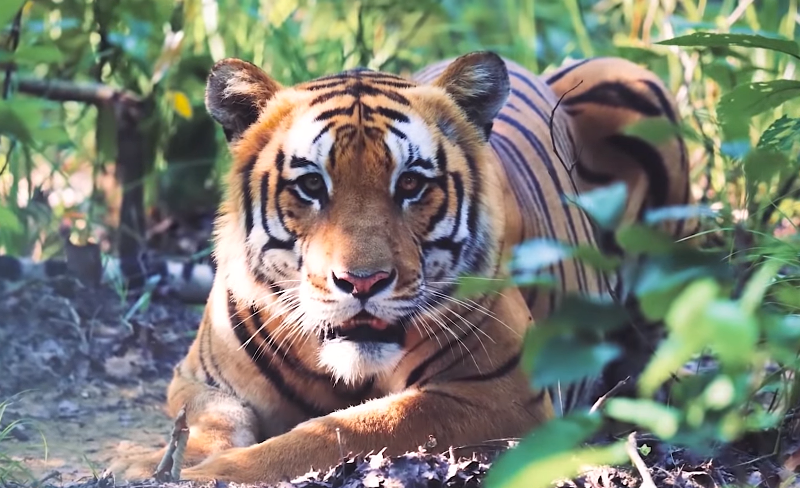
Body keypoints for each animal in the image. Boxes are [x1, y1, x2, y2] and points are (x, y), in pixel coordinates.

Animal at [108, 51, 692, 484]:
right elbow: (208, 421)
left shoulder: (499, 392)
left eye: (410, 183)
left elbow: (338, 432)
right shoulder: (199, 379)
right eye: (312, 185)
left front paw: (198, 475)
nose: (362, 282)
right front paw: (148, 463)